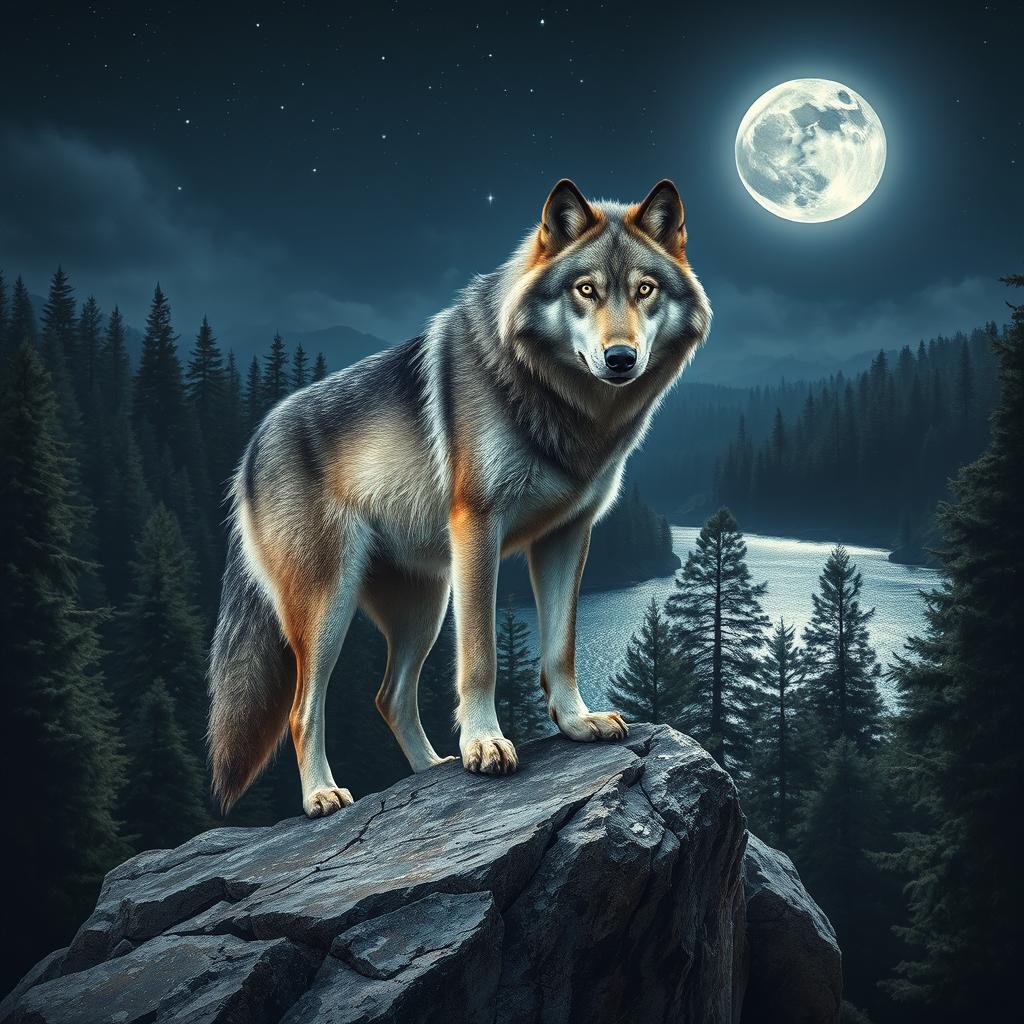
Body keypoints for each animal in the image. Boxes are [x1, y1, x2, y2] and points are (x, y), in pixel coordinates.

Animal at [208, 178, 711, 817]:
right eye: (586, 290)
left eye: (644, 290)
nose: (620, 358)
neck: (561, 405)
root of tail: (251, 447)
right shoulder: (478, 527)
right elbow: (480, 657)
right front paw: (485, 744)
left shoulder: (568, 534)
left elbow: (561, 648)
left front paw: (576, 723)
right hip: (329, 605)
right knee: (304, 711)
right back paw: (324, 794)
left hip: (424, 604)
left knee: (389, 696)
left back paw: (433, 771)